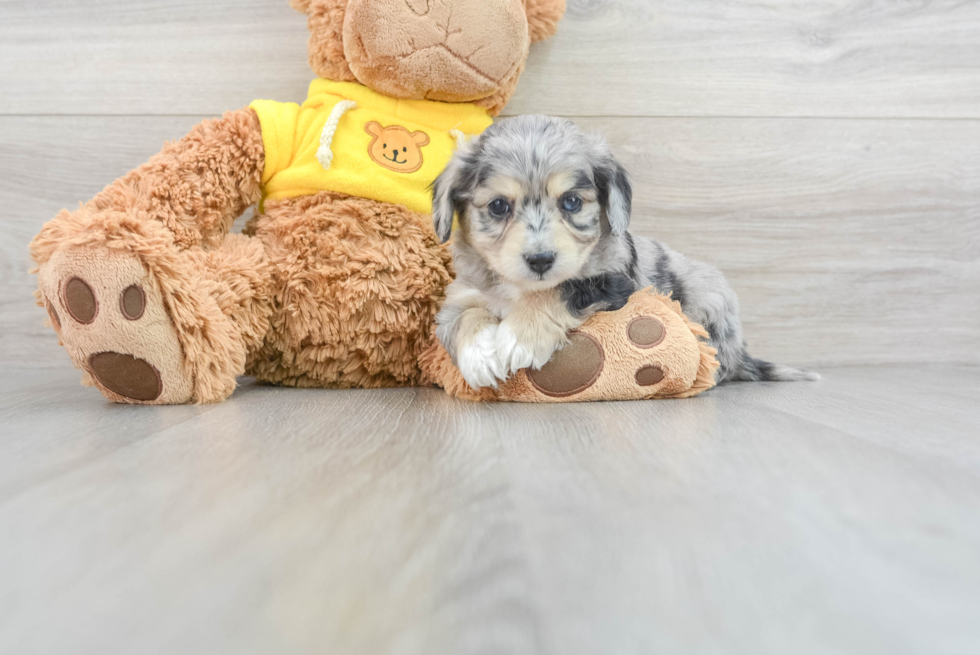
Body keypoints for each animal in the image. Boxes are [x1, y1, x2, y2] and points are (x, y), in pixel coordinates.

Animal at [430, 114, 820, 390]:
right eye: (498, 206)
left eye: (572, 202)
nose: (540, 260)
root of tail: (741, 353)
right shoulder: (462, 295)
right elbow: (464, 318)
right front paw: (480, 355)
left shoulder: (618, 283)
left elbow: (563, 289)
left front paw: (518, 338)